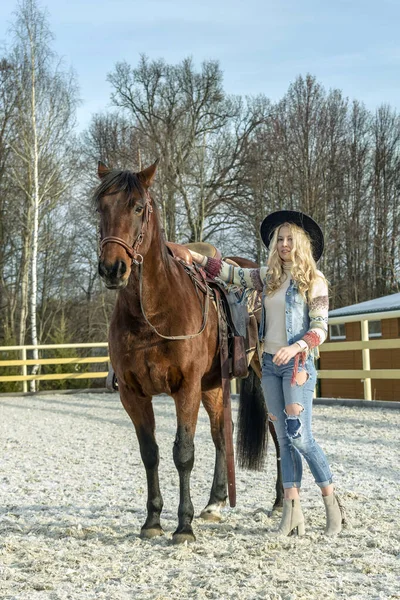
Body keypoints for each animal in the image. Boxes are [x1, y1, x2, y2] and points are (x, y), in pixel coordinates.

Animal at [94, 161, 282, 544]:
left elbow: (183, 452)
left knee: (279, 433)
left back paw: (280, 502)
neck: (150, 315)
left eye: (138, 207)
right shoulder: (133, 394)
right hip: (213, 387)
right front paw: (152, 520)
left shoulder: (186, 388)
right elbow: (150, 453)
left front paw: (183, 525)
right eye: (99, 208)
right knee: (221, 436)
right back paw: (215, 503)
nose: (112, 268)